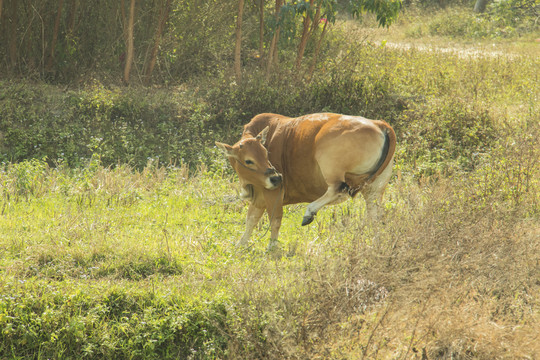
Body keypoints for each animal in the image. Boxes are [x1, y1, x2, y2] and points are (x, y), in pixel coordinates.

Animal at [215, 112, 396, 250]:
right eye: (248, 160)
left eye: (266, 153)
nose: (276, 177)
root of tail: (380, 124)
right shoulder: (259, 197)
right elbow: (251, 220)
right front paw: (240, 244)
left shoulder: (273, 193)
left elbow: (275, 219)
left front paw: (272, 247)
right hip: (374, 190)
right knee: (375, 216)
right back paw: (376, 243)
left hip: (329, 165)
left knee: (339, 189)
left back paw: (309, 212)